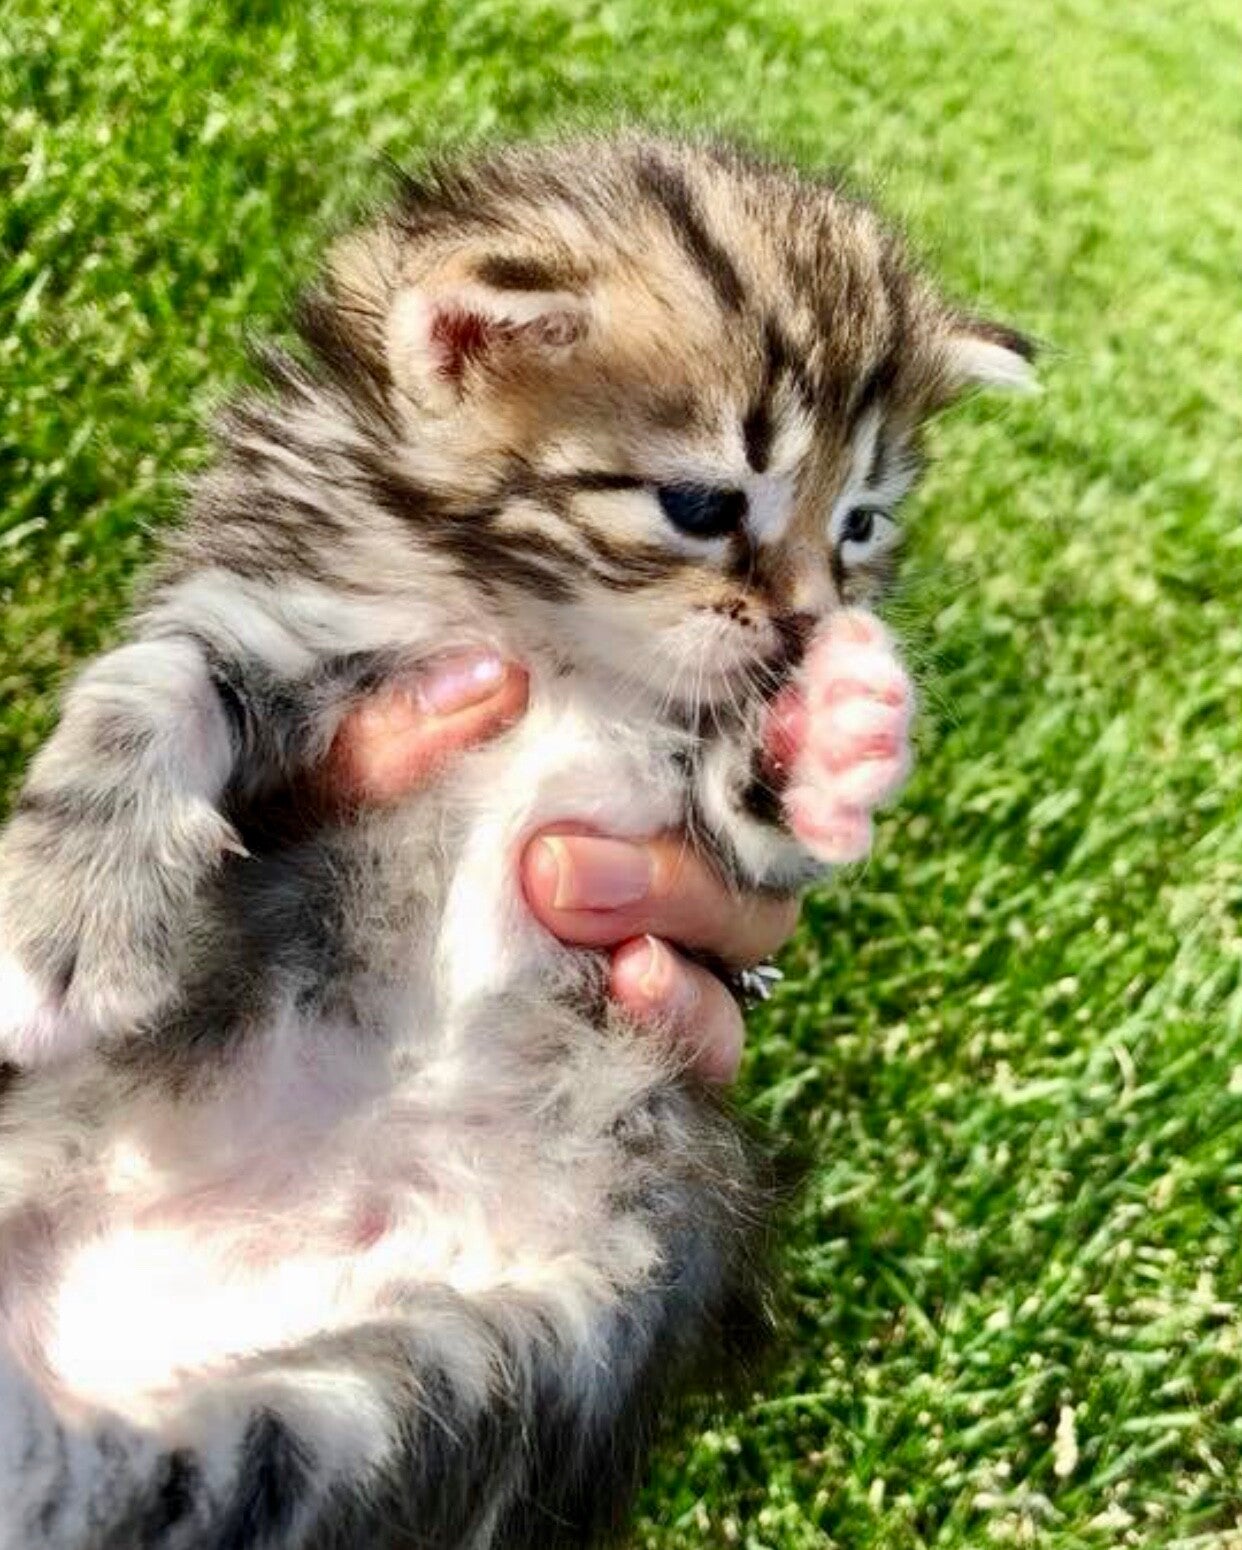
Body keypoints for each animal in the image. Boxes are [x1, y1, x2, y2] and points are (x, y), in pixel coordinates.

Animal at [0, 134, 1033, 1548]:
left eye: (862, 523)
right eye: (702, 502)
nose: (812, 622)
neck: (548, 628)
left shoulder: (673, 812)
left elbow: (756, 825)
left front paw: (830, 727)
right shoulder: (276, 610)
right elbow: (155, 682)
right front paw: (69, 914)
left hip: (443, 1378)